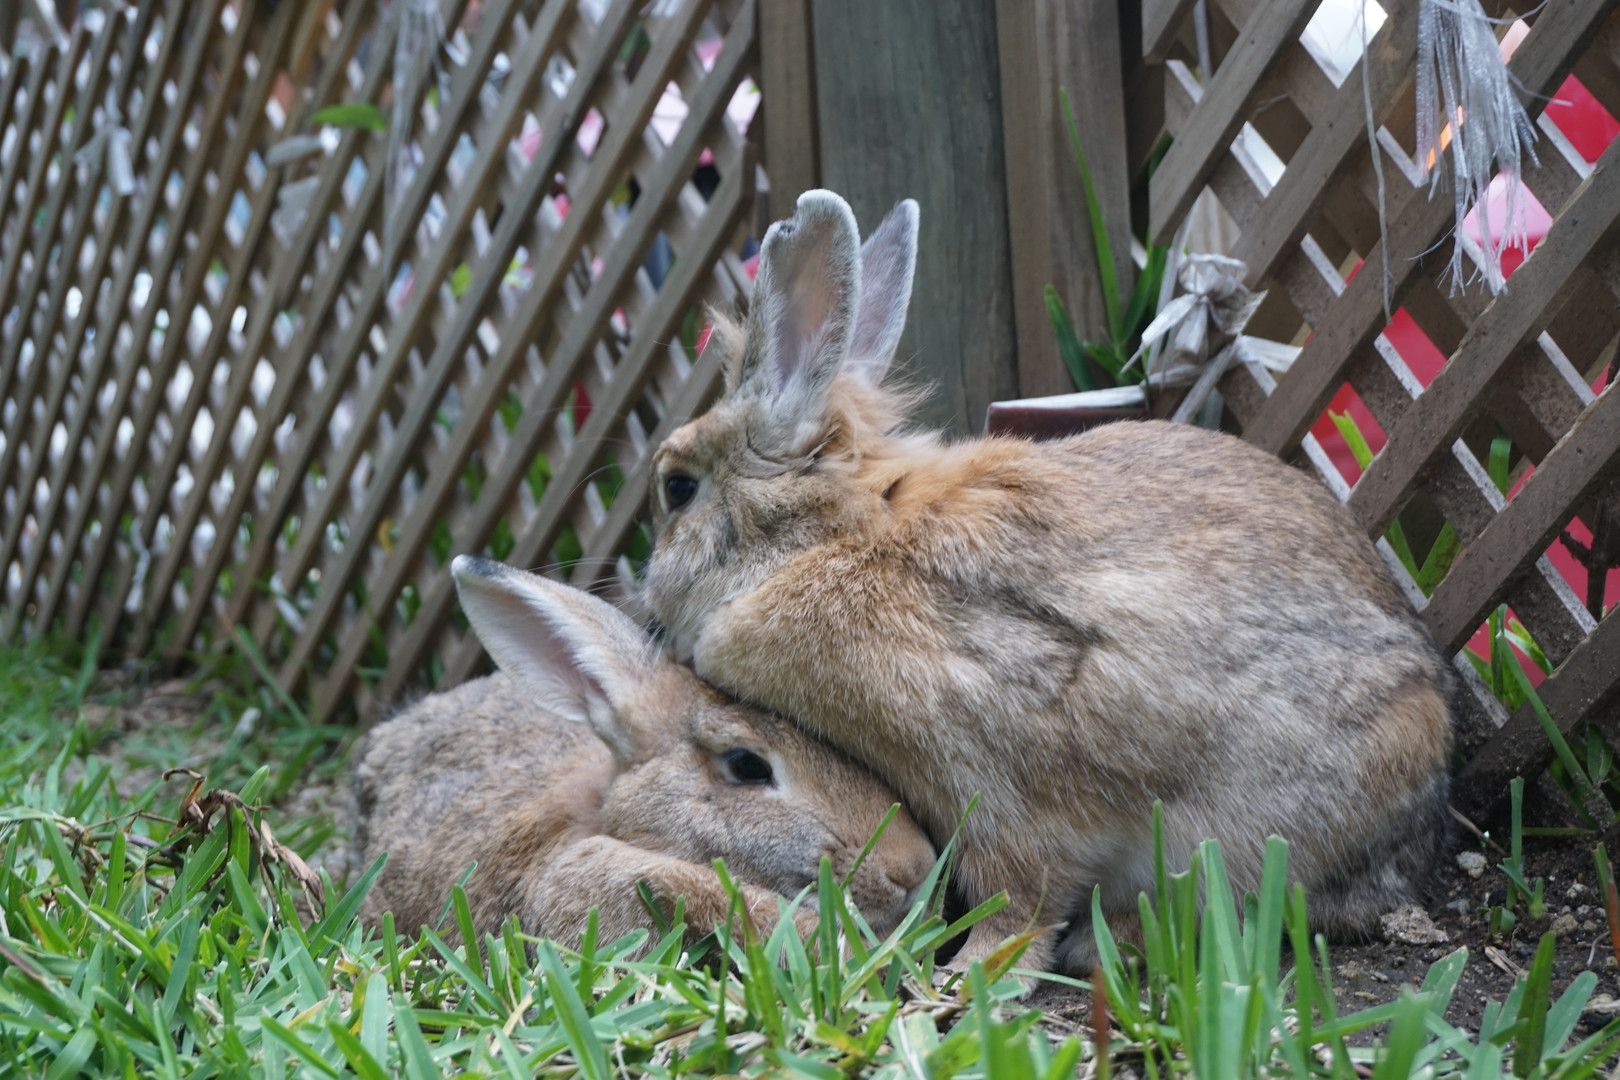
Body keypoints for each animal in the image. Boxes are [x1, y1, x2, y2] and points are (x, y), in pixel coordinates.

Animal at [642, 190, 1455, 977]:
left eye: (677, 489)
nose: (648, 601)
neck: (837, 532)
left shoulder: (998, 777)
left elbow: (1022, 896)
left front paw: (969, 976)